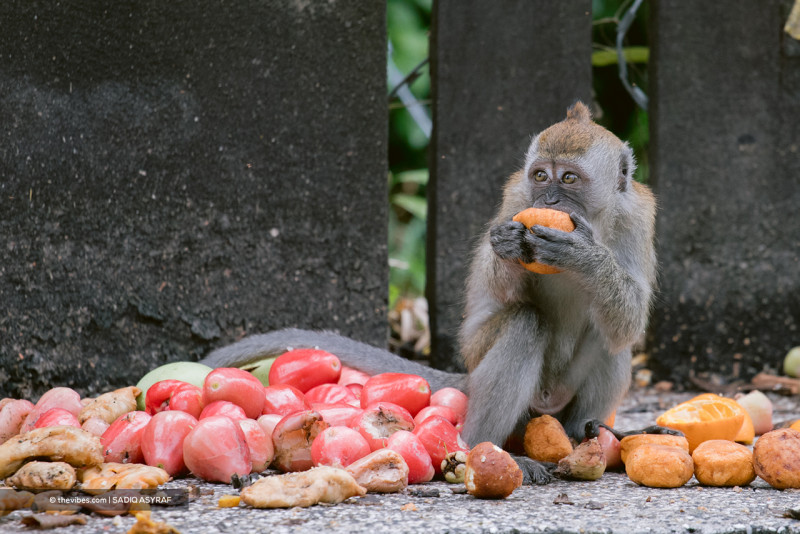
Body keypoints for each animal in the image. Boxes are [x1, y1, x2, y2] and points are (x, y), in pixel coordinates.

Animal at [200, 101, 660, 484]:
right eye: (541, 176)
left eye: (569, 178)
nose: (548, 199)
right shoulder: (516, 195)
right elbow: (502, 293)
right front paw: (509, 244)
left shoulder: (637, 218)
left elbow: (629, 320)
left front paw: (583, 256)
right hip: (483, 359)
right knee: (525, 323)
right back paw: (487, 446)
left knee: (612, 340)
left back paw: (585, 434)